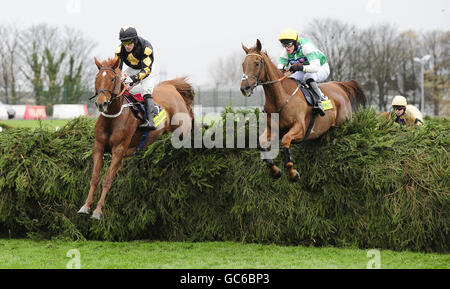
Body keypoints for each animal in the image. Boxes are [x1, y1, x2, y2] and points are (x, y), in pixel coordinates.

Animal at [78, 56, 194, 218]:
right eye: (96, 78)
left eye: (112, 79)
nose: (101, 103)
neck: (113, 117)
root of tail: (170, 86)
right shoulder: (98, 147)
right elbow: (94, 177)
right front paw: (86, 205)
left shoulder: (119, 150)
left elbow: (107, 179)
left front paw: (98, 210)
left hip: (183, 127)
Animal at [241, 39, 364, 181]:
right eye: (243, 64)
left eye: (256, 63)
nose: (244, 88)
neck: (281, 97)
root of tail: (339, 85)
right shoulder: (274, 129)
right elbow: (262, 143)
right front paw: (275, 170)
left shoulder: (300, 128)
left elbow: (286, 141)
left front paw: (293, 173)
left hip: (344, 123)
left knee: (310, 77)